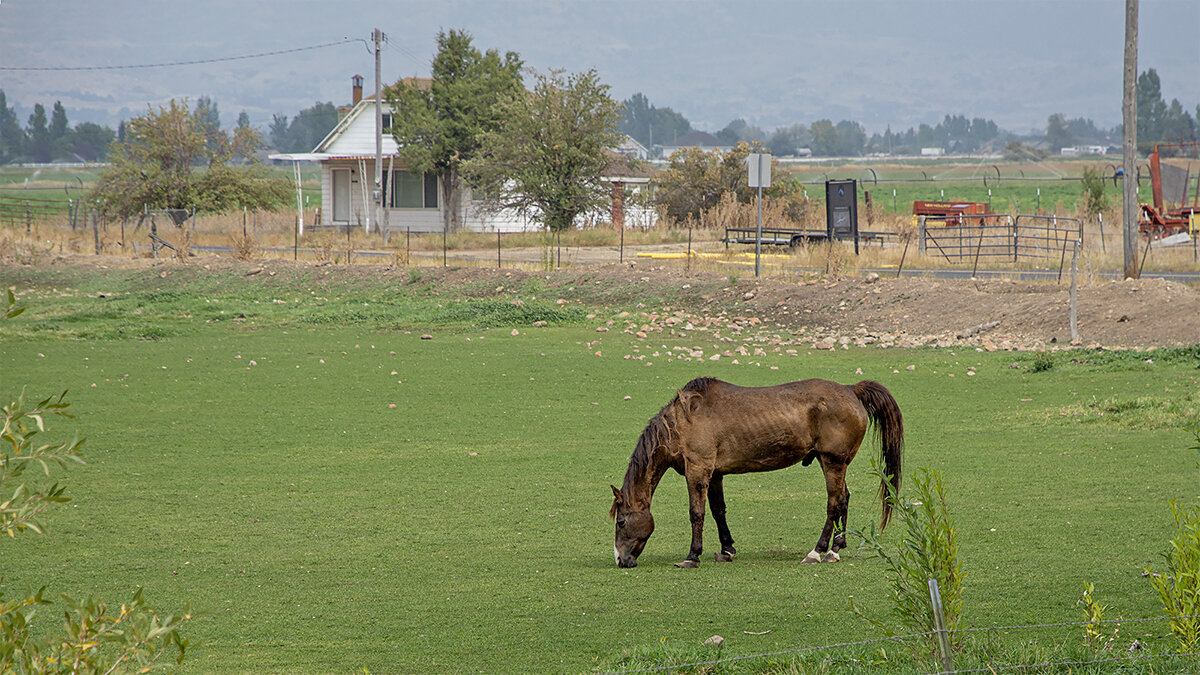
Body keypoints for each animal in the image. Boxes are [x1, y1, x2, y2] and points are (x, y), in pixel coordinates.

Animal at [609, 374, 902, 564]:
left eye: (621, 521)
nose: (621, 559)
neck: (684, 420)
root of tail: (851, 389)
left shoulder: (698, 471)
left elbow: (697, 513)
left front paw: (693, 556)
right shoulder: (715, 475)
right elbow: (718, 511)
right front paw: (727, 549)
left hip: (833, 462)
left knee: (834, 503)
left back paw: (818, 552)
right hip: (832, 462)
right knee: (844, 499)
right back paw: (837, 548)